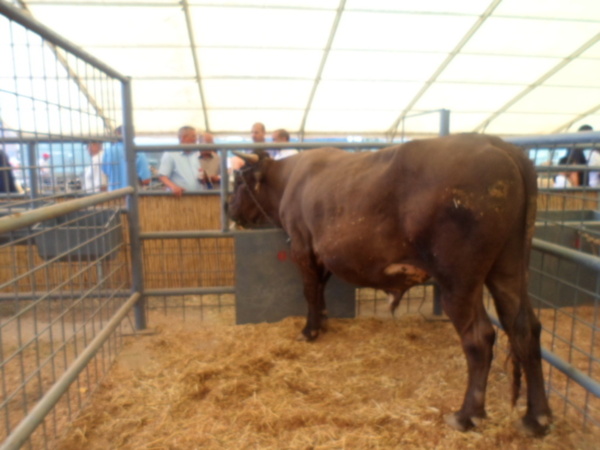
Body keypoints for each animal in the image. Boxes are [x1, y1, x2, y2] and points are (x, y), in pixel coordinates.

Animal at [230, 132, 552, 434]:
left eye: (237, 184)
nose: (231, 212)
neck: (289, 179)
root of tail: (496, 143)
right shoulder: (322, 255)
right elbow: (320, 290)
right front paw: (322, 321)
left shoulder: (302, 246)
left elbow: (310, 290)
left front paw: (309, 331)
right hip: (509, 268)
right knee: (525, 327)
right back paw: (536, 418)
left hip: (459, 279)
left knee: (480, 336)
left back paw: (466, 415)